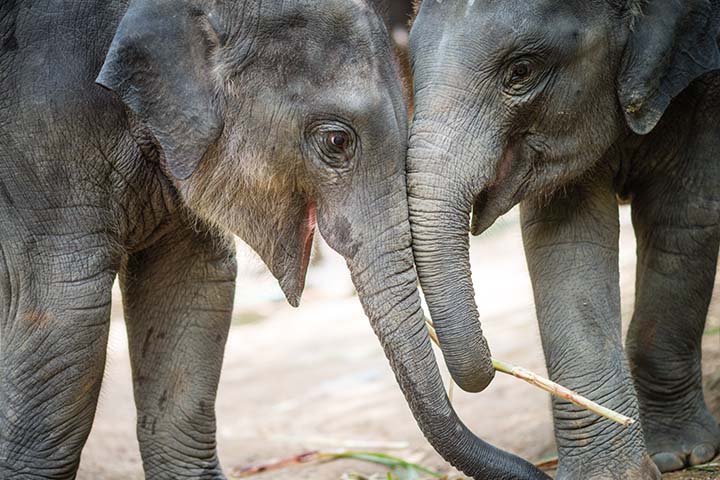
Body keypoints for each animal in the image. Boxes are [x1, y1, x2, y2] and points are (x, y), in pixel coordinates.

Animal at [408, 0, 716, 480]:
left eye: (521, 71)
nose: (537, 470)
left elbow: (684, 218)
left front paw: (681, 455)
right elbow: (566, 242)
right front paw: (614, 473)